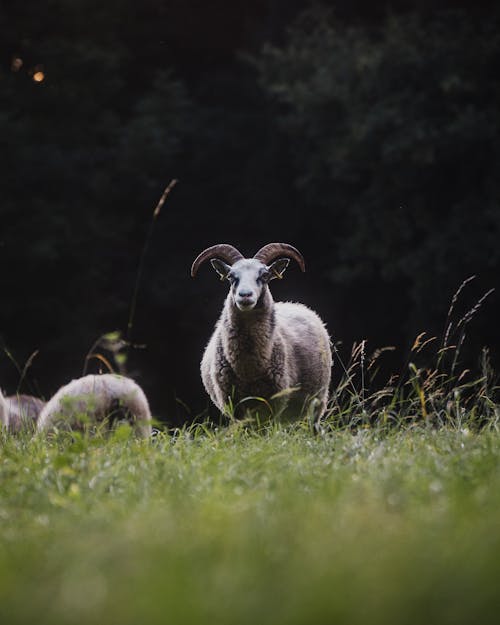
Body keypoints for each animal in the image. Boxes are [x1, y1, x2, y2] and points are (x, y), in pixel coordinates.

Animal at [191, 241, 332, 422]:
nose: (245, 295)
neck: (248, 368)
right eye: (231, 277)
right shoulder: (234, 404)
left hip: (316, 402)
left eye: (264, 276)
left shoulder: (276, 401)